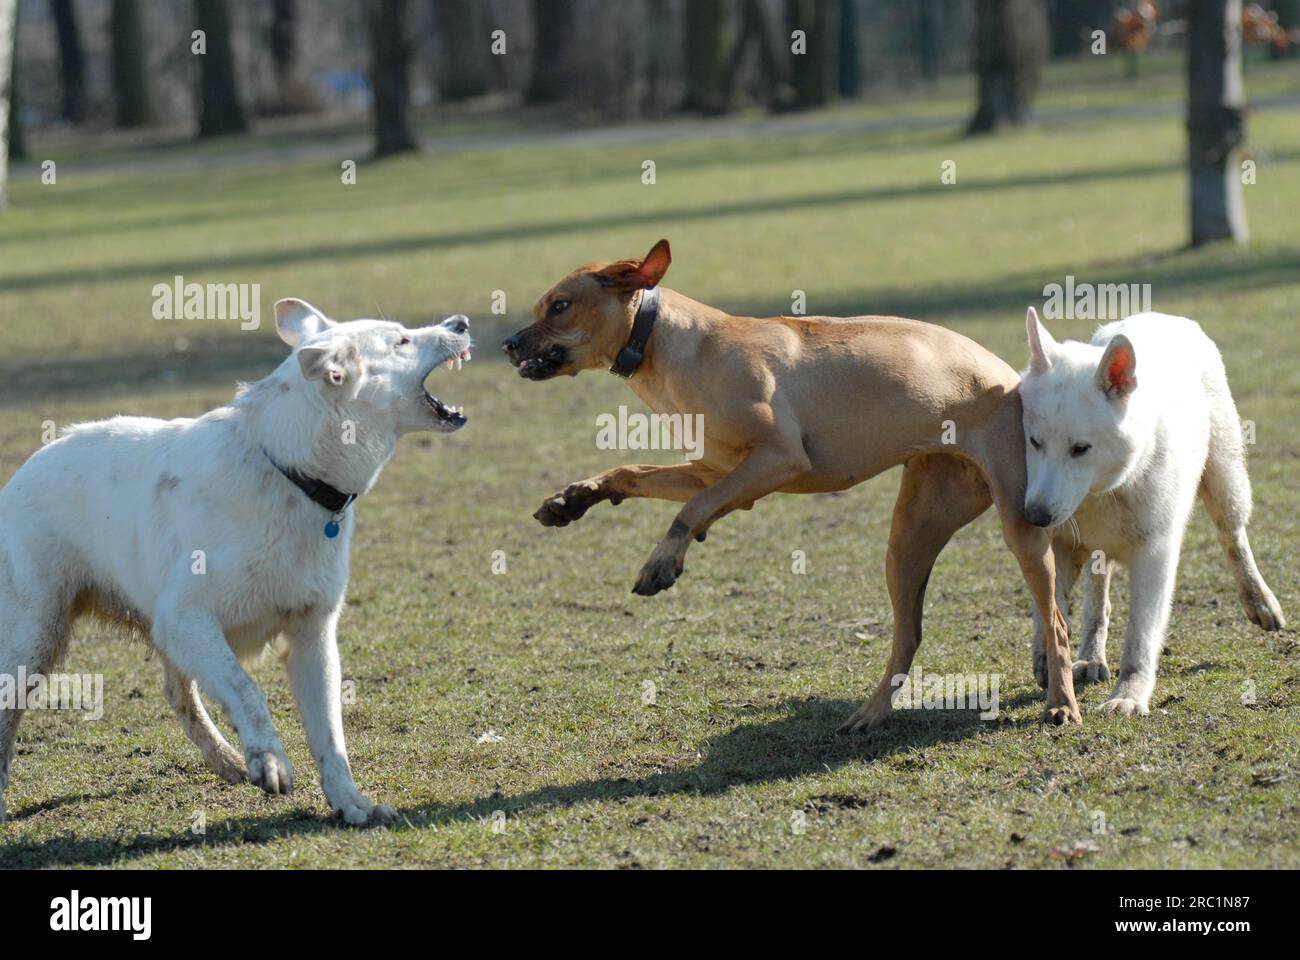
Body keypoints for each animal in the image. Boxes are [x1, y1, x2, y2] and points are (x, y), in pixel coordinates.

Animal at [0, 297, 467, 822]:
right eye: (401, 340)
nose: (461, 323)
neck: (291, 473)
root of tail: (22, 471)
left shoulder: (311, 636)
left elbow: (331, 734)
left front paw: (351, 803)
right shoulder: (187, 619)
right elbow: (248, 690)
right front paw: (271, 759)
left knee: (178, 693)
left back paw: (226, 759)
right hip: (34, 636)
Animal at [1019, 306, 1284, 712]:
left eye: (1080, 449)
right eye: (1034, 442)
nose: (1034, 517)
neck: (1104, 491)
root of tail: (1163, 315)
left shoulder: (1155, 555)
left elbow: (1140, 638)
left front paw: (1128, 696)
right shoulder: (1059, 544)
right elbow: (1050, 610)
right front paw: (1051, 661)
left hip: (1226, 479)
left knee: (1233, 537)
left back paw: (1260, 600)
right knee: (1098, 600)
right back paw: (1091, 657)